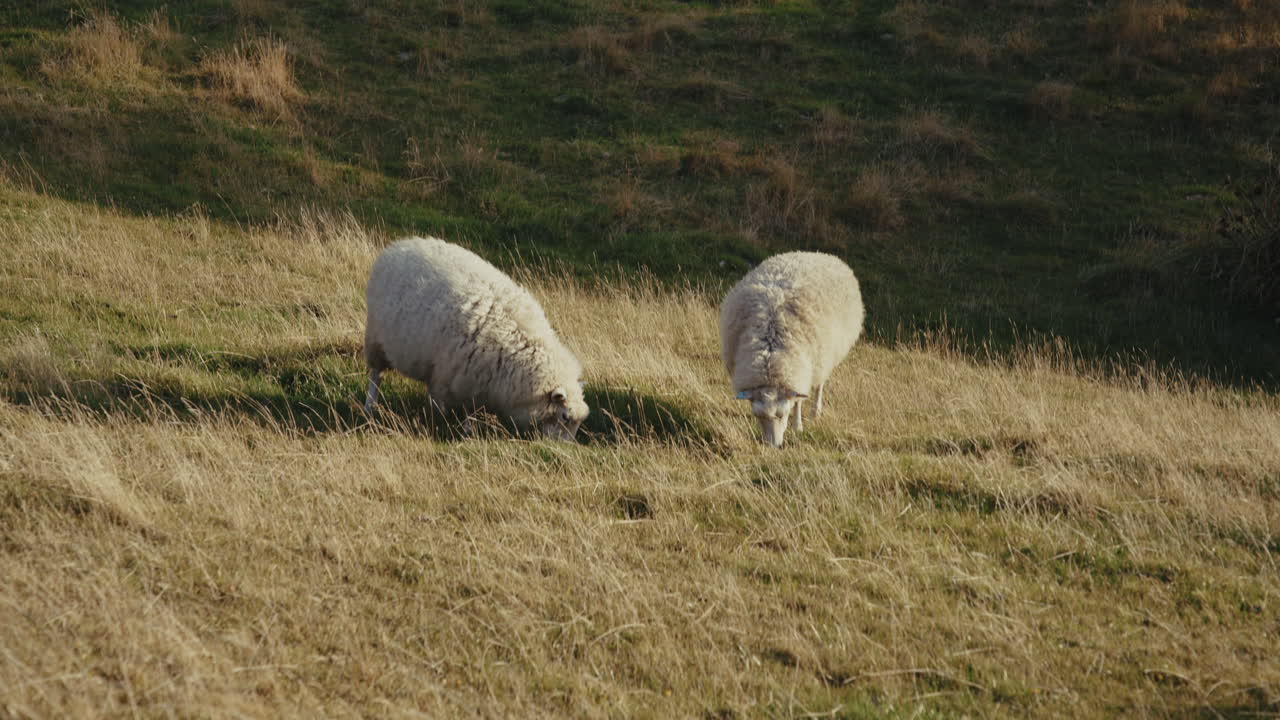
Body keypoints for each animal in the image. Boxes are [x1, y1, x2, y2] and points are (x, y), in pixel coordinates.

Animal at [363, 236, 589, 442]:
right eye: (565, 417)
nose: (565, 448)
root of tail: (398, 245)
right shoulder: (461, 378)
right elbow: (462, 410)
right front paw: (455, 429)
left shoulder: (473, 381)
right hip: (375, 339)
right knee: (376, 375)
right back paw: (369, 406)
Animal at [719, 251, 864, 448]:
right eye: (758, 416)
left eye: (783, 414)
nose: (774, 446)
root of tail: (817, 253)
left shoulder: (800, 372)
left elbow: (798, 403)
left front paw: (798, 426)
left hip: (824, 358)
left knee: (820, 385)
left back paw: (816, 411)